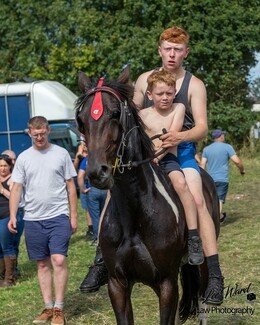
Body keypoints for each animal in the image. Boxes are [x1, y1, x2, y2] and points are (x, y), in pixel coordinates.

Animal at [76, 67, 220, 322]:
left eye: (115, 113)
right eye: (81, 121)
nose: (96, 172)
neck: (136, 213)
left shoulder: (166, 284)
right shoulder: (118, 284)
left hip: (201, 268)